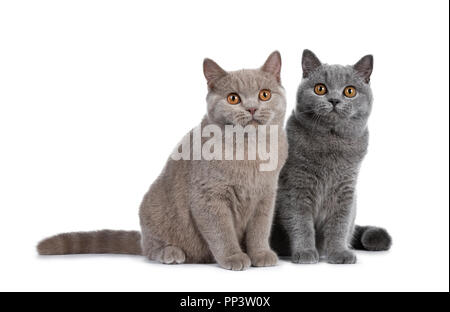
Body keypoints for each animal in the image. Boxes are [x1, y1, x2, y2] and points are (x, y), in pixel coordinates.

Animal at [37, 51, 286, 270]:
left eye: (264, 94)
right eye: (233, 98)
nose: (252, 108)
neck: (251, 151)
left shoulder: (266, 196)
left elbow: (260, 229)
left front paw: (261, 254)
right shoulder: (208, 196)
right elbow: (221, 231)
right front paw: (234, 257)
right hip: (153, 208)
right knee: (151, 248)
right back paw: (171, 252)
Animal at [270, 50, 390, 264]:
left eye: (349, 91)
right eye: (320, 89)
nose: (334, 100)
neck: (331, 142)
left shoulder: (346, 189)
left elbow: (339, 225)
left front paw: (339, 252)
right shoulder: (295, 186)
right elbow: (300, 223)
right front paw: (305, 252)